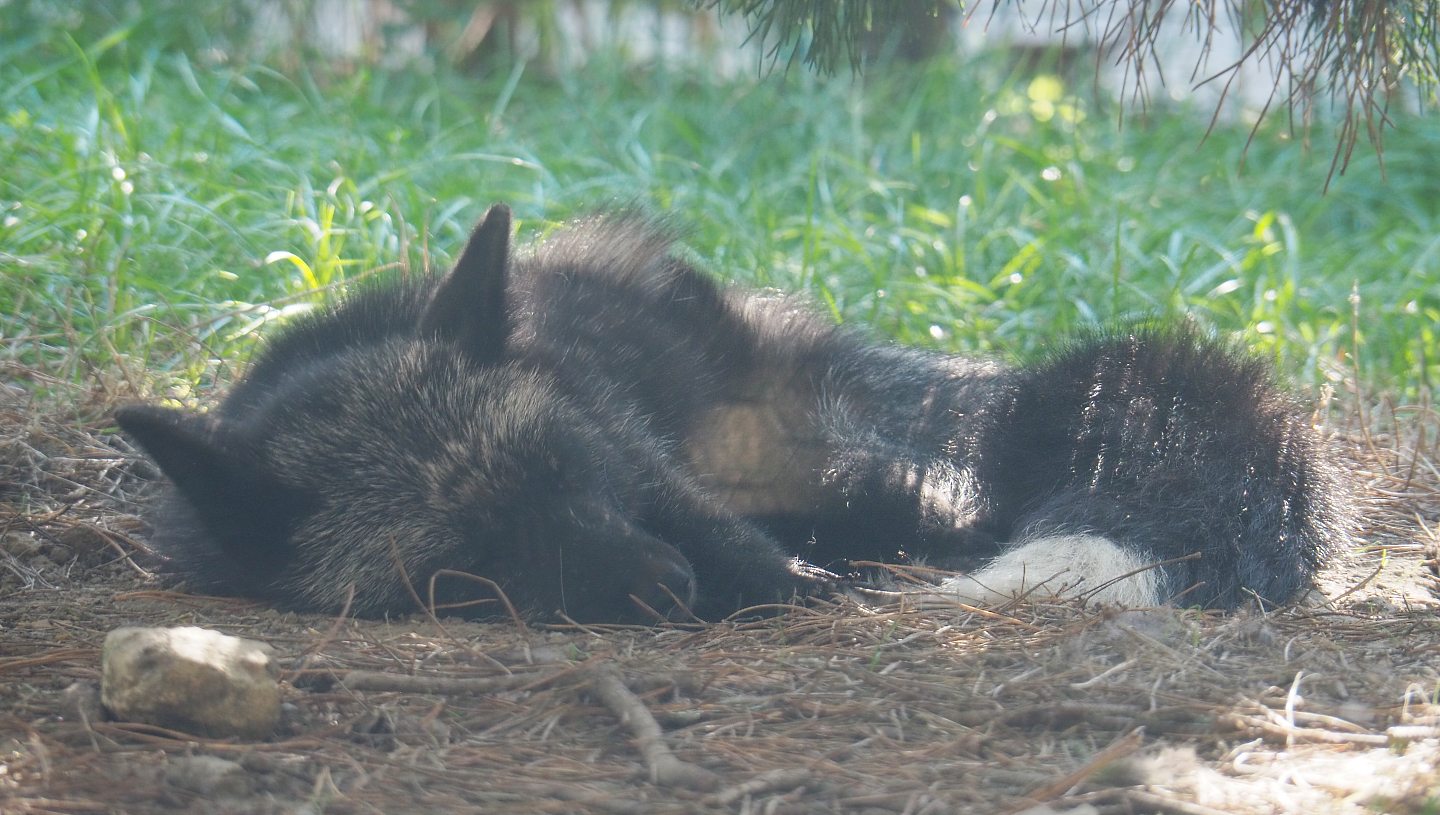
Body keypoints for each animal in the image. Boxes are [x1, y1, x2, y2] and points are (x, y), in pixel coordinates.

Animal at [115, 203, 1352, 623]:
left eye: (570, 468)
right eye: (468, 564)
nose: (665, 583)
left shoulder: (636, 455)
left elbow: (721, 530)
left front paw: (780, 585)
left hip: (882, 477)